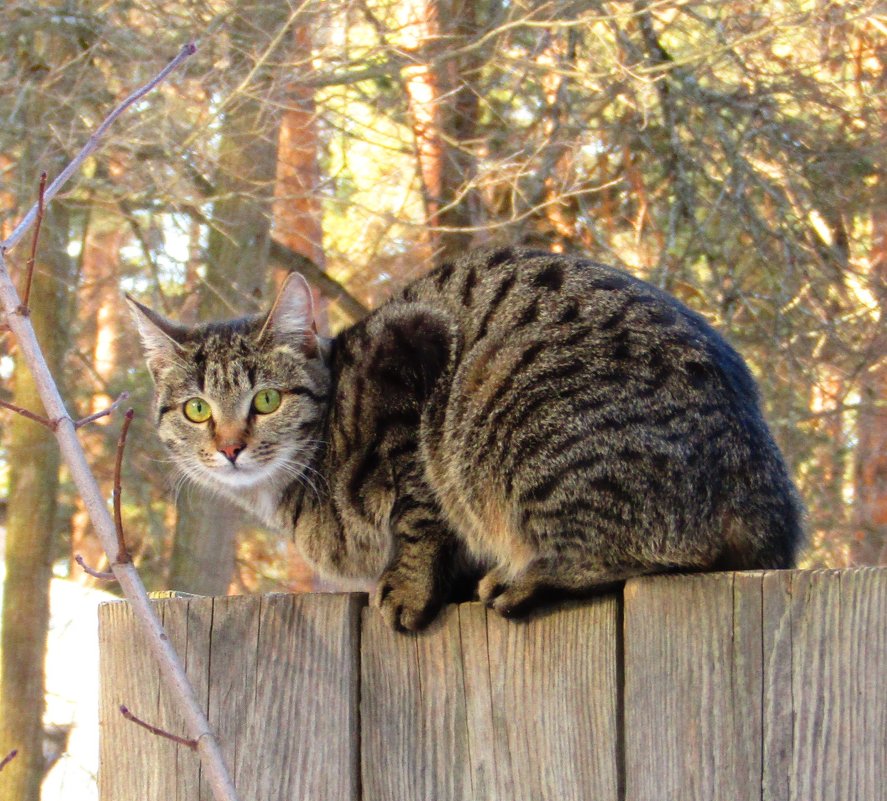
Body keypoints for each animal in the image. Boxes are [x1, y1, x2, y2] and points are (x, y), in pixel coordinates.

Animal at [130, 247, 804, 628]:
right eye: (196, 410)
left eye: (266, 400)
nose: (230, 447)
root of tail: (765, 482)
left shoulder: (410, 364)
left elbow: (419, 515)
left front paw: (408, 587)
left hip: (526, 427)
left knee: (656, 549)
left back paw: (519, 579)